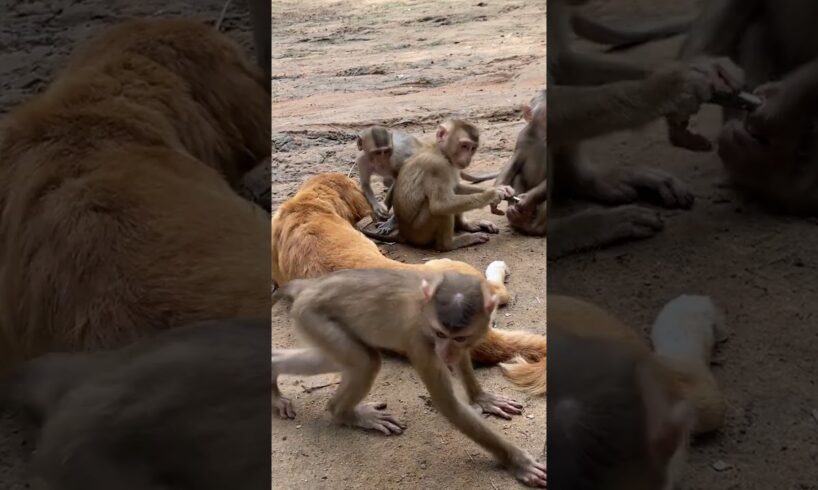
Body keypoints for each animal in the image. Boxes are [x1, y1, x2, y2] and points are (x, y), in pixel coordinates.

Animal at [271, 268, 546, 488]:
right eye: (440, 333)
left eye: (458, 337)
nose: (445, 352)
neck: (426, 310)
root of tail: (309, 286)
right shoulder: (420, 342)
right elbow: (449, 405)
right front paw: (517, 461)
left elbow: (463, 360)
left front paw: (481, 397)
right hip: (313, 316)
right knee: (366, 362)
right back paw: (345, 413)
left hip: (312, 321)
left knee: (338, 359)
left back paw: (274, 373)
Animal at [356, 126, 498, 235]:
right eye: (377, 153)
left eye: (386, 151)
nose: (383, 160)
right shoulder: (362, 159)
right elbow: (365, 184)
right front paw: (378, 208)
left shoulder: (395, 158)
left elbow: (398, 180)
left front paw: (389, 220)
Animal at [389, 119, 515, 251]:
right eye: (464, 146)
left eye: (473, 148)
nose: (467, 159)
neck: (440, 151)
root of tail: (402, 233)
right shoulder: (436, 166)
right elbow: (440, 205)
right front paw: (492, 195)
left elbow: (457, 188)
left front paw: (502, 189)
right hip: (419, 232)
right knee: (439, 210)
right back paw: (449, 244)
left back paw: (465, 225)